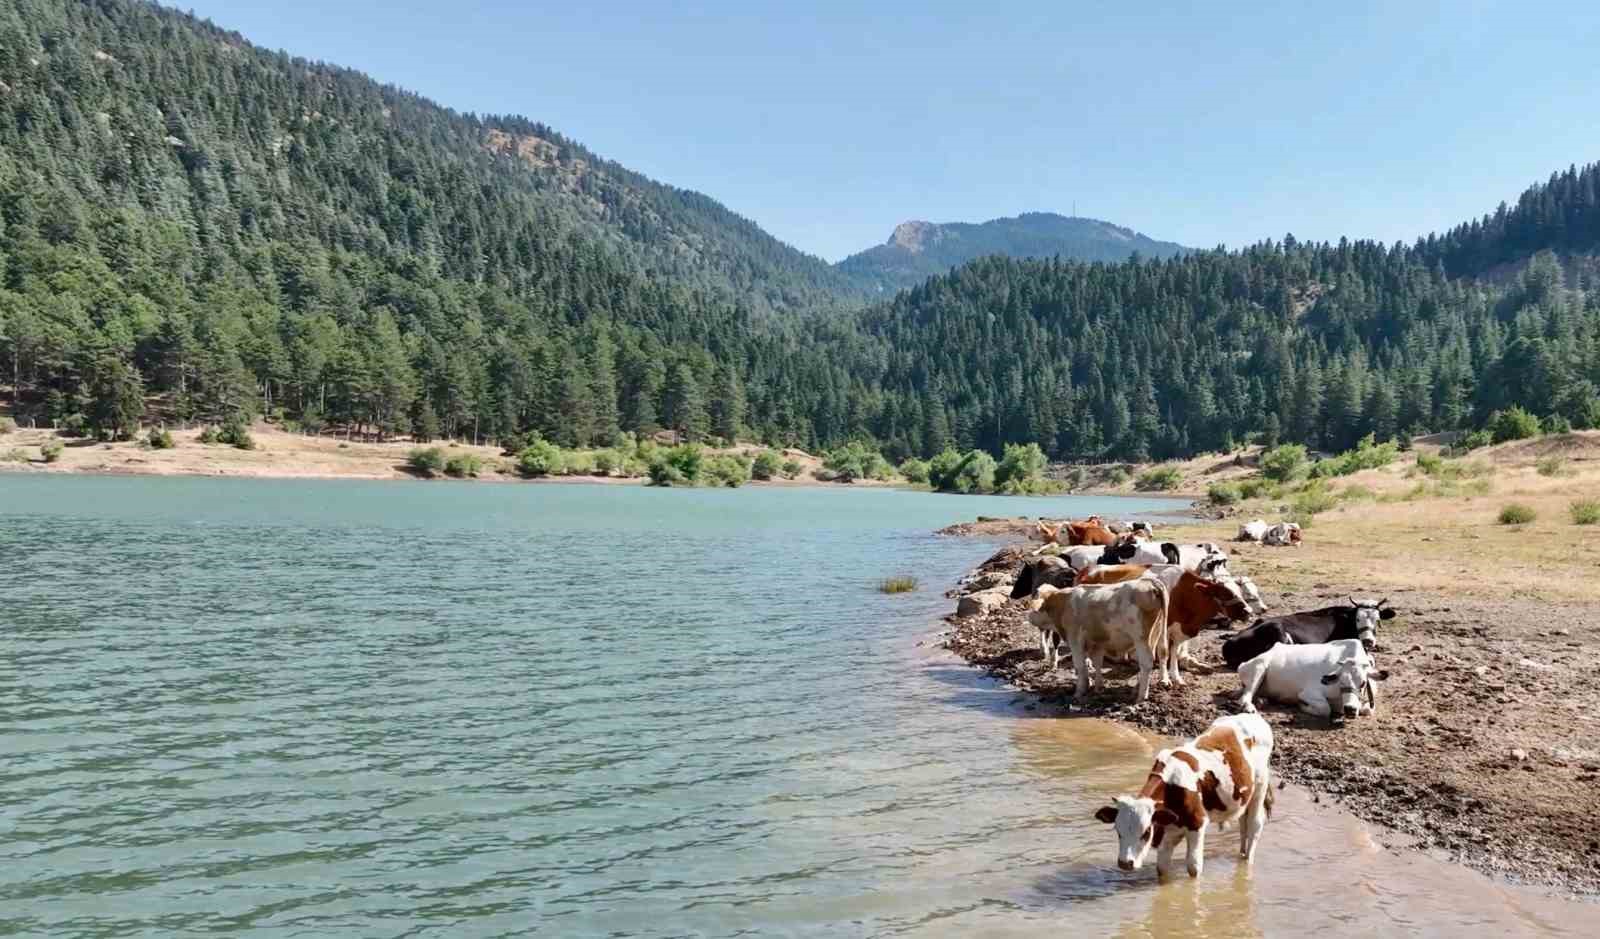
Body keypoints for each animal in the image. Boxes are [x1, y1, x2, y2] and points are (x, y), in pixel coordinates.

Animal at [1030, 572, 1171, 703]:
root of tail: (1149, 582)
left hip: (1141, 638)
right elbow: (1097, 662)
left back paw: (1141, 696)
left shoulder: (1074, 639)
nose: (1029, 616)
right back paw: (1138, 688)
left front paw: (1080, 691)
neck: (1063, 603)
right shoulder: (1096, 642)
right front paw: (1098, 687)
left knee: (1146, 662)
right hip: (1156, 634)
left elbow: (1080, 666)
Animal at [1088, 713, 1273, 883]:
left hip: (1260, 785)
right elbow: (1162, 868)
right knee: (1243, 823)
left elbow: (1193, 867)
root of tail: (1253, 716)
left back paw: (1247, 861)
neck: (1172, 787)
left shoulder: (1197, 824)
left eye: (1146, 832)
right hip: (1244, 798)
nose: (1125, 863)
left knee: (1254, 824)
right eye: (1118, 831)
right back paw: (1241, 853)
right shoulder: (1169, 829)